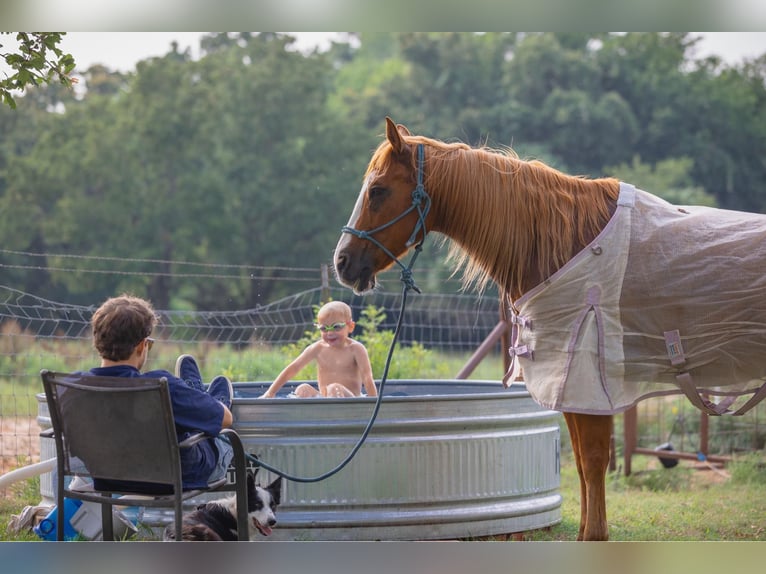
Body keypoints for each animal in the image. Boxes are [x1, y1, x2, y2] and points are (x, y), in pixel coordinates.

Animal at [336, 118, 766, 544]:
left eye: (377, 190)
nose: (342, 262)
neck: (565, 246)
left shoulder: (587, 384)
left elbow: (591, 463)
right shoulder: (571, 385)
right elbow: (582, 467)